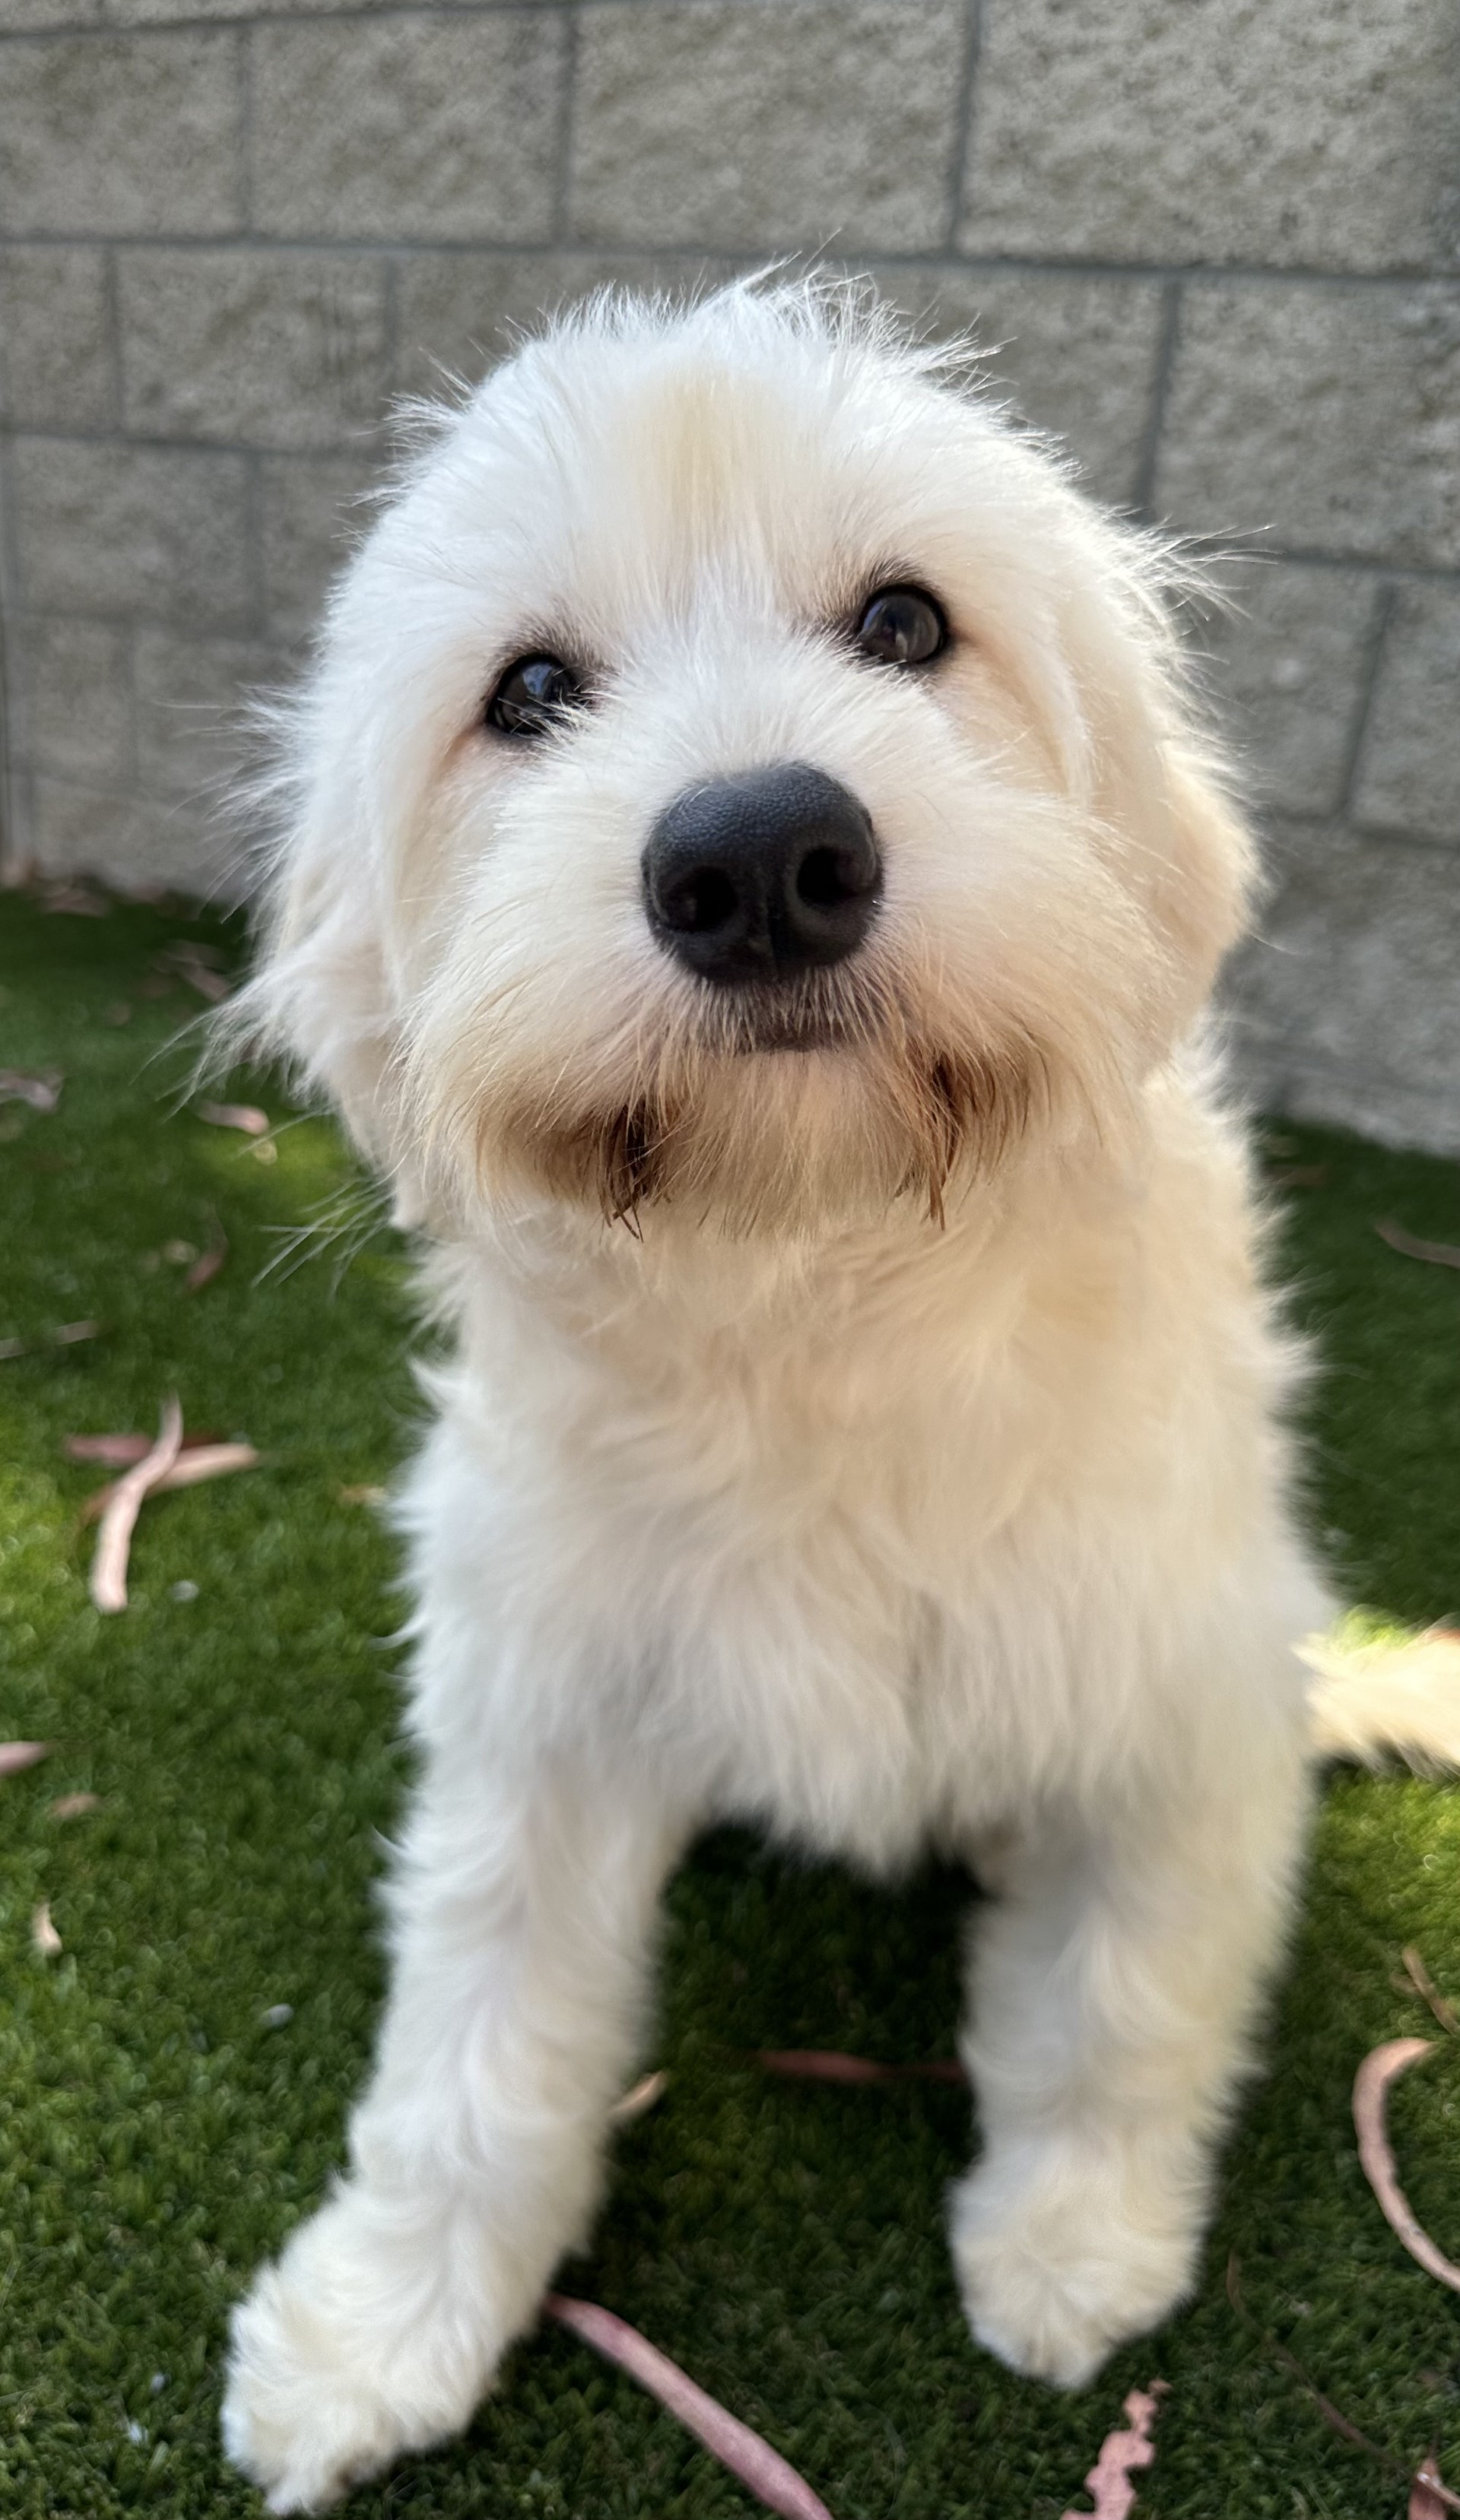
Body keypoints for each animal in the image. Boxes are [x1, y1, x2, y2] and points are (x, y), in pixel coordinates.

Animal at [217, 276, 1434, 2512]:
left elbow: (1118, 1998)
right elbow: (475, 2050)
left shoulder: (1176, 1715)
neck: (817, 1299)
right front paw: (379, 2330)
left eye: (902, 621)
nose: (761, 853)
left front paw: (1072, 2243)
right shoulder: (543, 1718)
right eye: (530, 690)